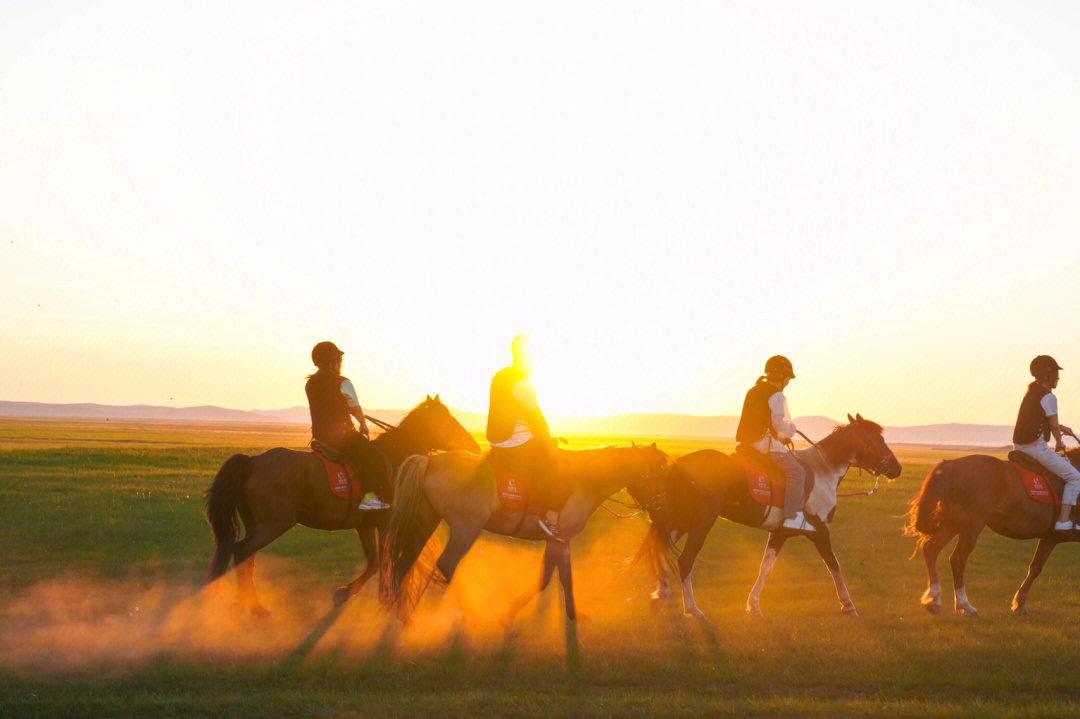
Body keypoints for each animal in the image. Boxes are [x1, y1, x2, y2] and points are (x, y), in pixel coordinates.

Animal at [203, 395, 481, 613]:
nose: (474, 446)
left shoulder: (366, 526)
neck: (395, 457)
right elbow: (382, 561)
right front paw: (375, 598)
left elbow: (374, 562)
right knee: (242, 552)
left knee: (246, 559)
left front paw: (352, 594)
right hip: (273, 525)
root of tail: (252, 461)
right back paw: (253, 608)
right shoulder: (384, 524)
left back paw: (244, 605)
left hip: (256, 524)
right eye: (447, 420)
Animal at [380, 440, 665, 626]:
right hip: (466, 528)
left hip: (425, 520)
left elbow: (557, 577)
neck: (582, 480)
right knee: (447, 564)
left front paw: (572, 613)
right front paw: (512, 612)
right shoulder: (560, 536)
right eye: (657, 474)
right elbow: (552, 579)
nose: (659, 506)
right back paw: (469, 613)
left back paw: (402, 615)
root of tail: (429, 460)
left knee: (406, 560)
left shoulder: (558, 539)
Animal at [630, 414, 902, 617]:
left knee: (660, 547)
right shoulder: (820, 530)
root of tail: (677, 465)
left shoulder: (781, 532)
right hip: (700, 522)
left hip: (681, 520)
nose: (897, 468)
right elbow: (833, 564)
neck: (823, 472)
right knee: (685, 559)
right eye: (876, 440)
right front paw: (848, 604)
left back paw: (661, 594)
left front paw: (753, 605)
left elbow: (766, 567)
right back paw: (692, 609)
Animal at [902, 444, 1080, 613]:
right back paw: (964, 606)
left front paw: (1020, 605)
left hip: (953, 523)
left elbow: (1035, 568)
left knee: (931, 548)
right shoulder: (1052, 539)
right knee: (957, 559)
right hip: (971, 526)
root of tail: (953, 464)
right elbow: (1036, 569)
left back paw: (934, 599)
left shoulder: (1049, 538)